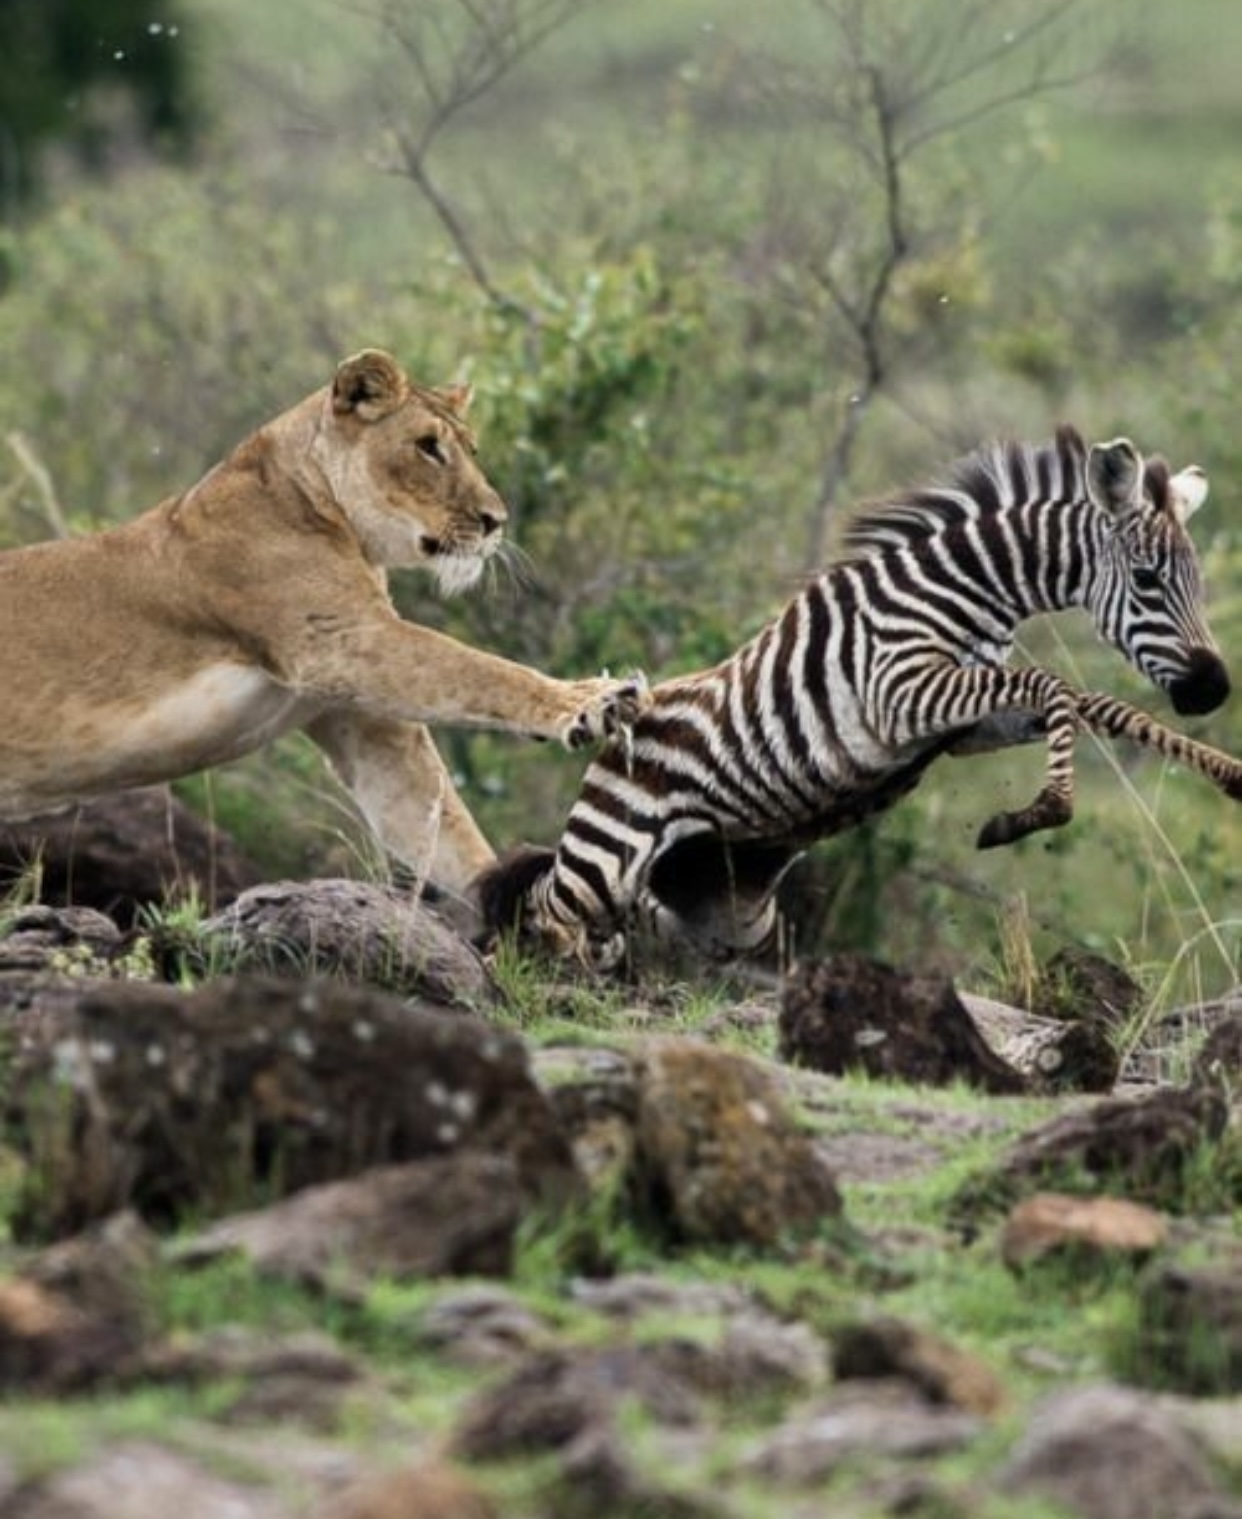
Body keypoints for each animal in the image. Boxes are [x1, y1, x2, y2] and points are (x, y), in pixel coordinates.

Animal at [476, 428, 1238, 966]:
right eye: (1147, 581)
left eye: (1197, 583)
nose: (1212, 690)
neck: (968, 589)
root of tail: (613, 738)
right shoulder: (899, 692)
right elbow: (1054, 686)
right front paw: (1039, 810)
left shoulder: (966, 726)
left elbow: (1095, 706)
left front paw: (1226, 771)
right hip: (607, 858)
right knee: (543, 905)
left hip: (721, 909)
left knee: (627, 923)